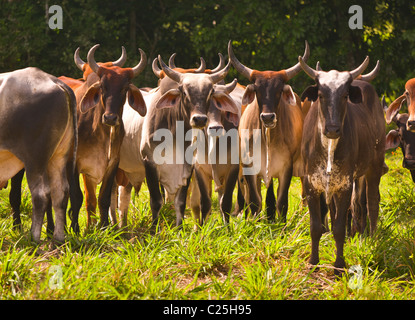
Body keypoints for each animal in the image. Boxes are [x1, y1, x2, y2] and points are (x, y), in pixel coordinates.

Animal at [0, 67, 78, 242]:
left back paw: (33, 238)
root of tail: (54, 81)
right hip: (58, 157)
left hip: (35, 159)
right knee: (61, 192)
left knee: (41, 195)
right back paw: (58, 238)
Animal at [67, 43, 147, 231]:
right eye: (102, 86)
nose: (110, 118)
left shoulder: (113, 163)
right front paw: (76, 229)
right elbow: (79, 197)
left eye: (124, 88)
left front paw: (103, 227)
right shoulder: (78, 166)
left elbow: (103, 198)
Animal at [229, 40, 310, 221]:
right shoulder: (250, 167)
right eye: (257, 90)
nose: (267, 117)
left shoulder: (286, 168)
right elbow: (255, 201)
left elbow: (281, 202)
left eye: (279, 90)